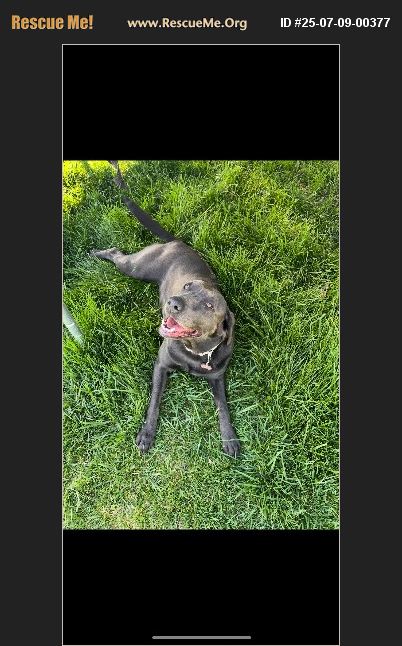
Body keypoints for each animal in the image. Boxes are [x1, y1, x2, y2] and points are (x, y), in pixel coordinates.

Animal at [91, 161, 240, 457]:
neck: (196, 352)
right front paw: (147, 434)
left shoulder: (218, 376)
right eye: (188, 286)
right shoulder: (161, 365)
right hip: (137, 267)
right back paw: (100, 254)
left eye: (209, 305)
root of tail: (177, 242)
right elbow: (154, 402)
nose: (173, 303)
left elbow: (223, 407)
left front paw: (229, 437)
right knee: (116, 253)